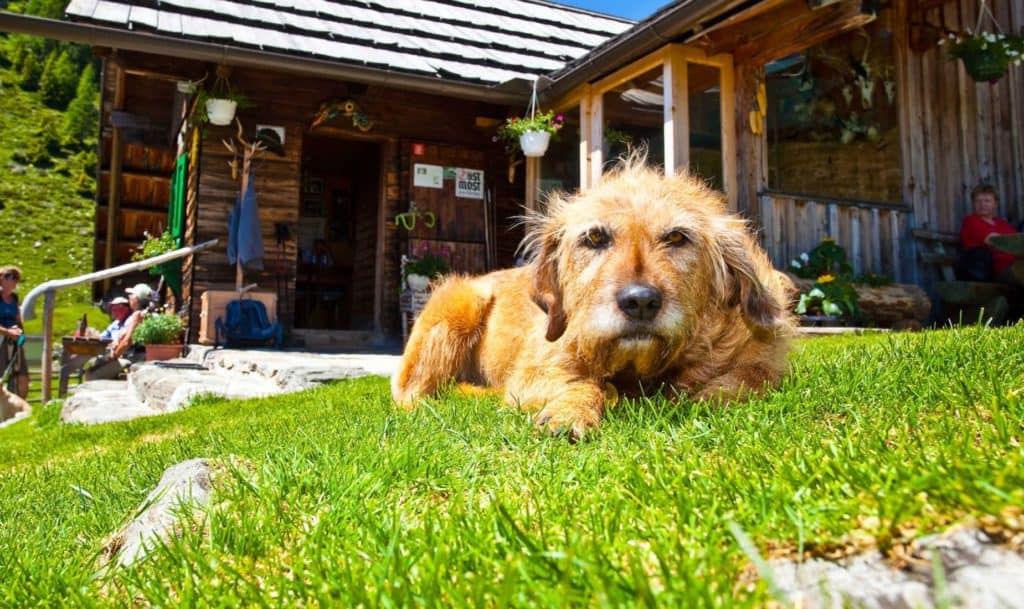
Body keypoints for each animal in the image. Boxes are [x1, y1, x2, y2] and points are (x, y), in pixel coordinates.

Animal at [387, 154, 794, 436]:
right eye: (595, 237)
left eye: (677, 237)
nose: (640, 302)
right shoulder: (536, 370)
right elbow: (588, 384)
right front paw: (570, 411)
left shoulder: (762, 357)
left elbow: (749, 379)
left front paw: (703, 394)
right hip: (459, 304)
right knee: (416, 393)